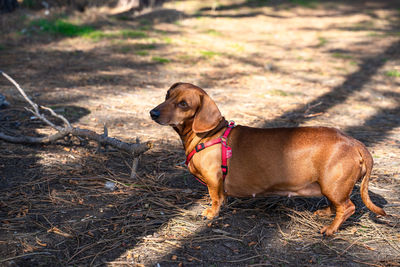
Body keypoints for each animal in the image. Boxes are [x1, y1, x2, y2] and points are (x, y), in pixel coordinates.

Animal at [148, 82, 386, 236]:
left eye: (183, 104)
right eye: (167, 95)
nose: (153, 113)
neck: (209, 135)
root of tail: (355, 143)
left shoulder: (214, 180)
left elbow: (215, 198)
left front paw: (211, 213)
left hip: (333, 185)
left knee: (347, 208)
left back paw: (330, 229)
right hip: (328, 185)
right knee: (335, 205)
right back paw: (325, 214)